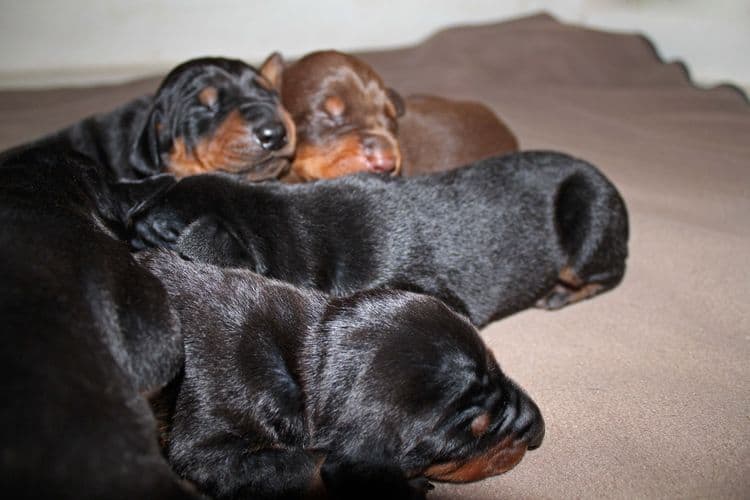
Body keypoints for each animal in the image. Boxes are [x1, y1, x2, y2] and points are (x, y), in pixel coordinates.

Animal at [137, 250, 548, 500]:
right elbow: (312, 464)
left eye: (498, 365)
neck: (296, 364)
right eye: (469, 434)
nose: (537, 429)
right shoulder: (207, 448)